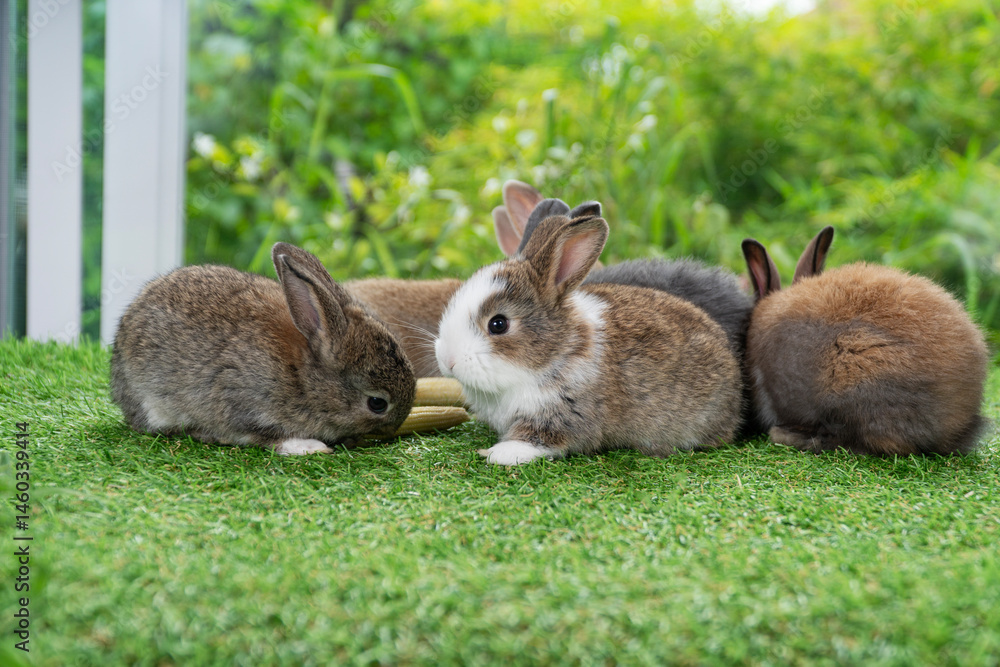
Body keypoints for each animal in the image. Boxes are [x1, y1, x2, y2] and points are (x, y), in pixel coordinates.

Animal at [110, 242, 417, 455]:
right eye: (377, 403)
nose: (396, 426)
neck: (302, 377)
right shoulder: (241, 402)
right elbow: (266, 436)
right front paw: (309, 447)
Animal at [434, 211, 743, 465]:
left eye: (498, 324)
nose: (448, 360)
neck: (558, 350)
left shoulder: (564, 414)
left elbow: (539, 439)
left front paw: (499, 453)